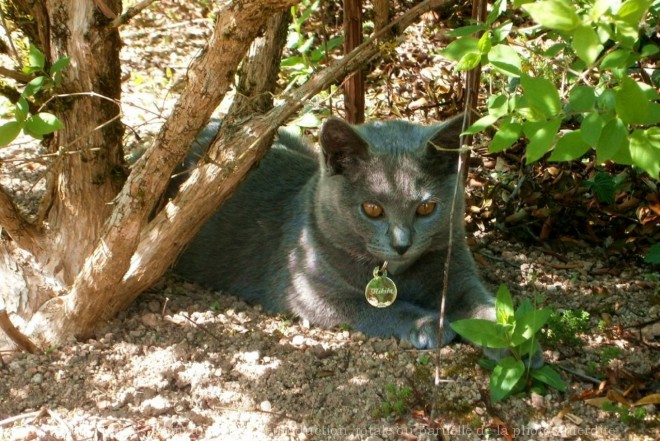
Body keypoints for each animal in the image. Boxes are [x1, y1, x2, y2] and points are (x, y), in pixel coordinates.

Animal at [175, 115, 500, 348]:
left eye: (426, 209)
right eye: (372, 209)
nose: (402, 244)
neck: (399, 275)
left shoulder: (456, 267)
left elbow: (482, 306)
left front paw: (509, 341)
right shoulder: (309, 291)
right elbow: (374, 308)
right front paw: (429, 325)